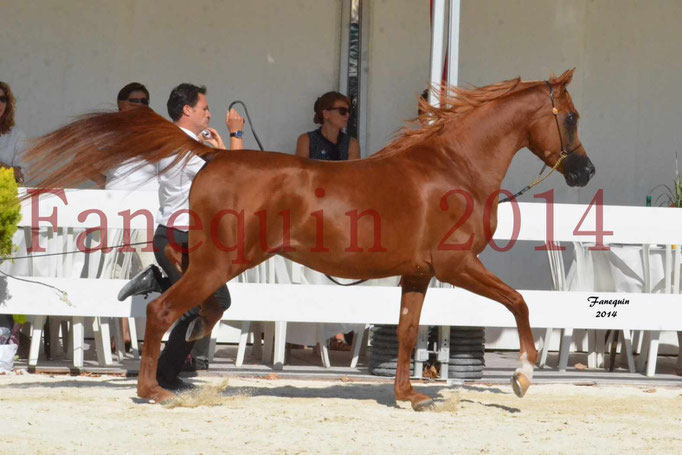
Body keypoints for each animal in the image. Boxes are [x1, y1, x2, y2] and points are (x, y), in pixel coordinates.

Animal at [25, 69, 588, 412]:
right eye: (571, 117)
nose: (585, 171)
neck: (453, 169)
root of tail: (214, 155)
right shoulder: (457, 266)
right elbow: (519, 303)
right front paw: (522, 376)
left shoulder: (418, 273)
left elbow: (408, 332)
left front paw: (409, 396)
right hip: (220, 263)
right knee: (165, 310)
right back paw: (154, 391)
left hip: (210, 262)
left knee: (185, 298)